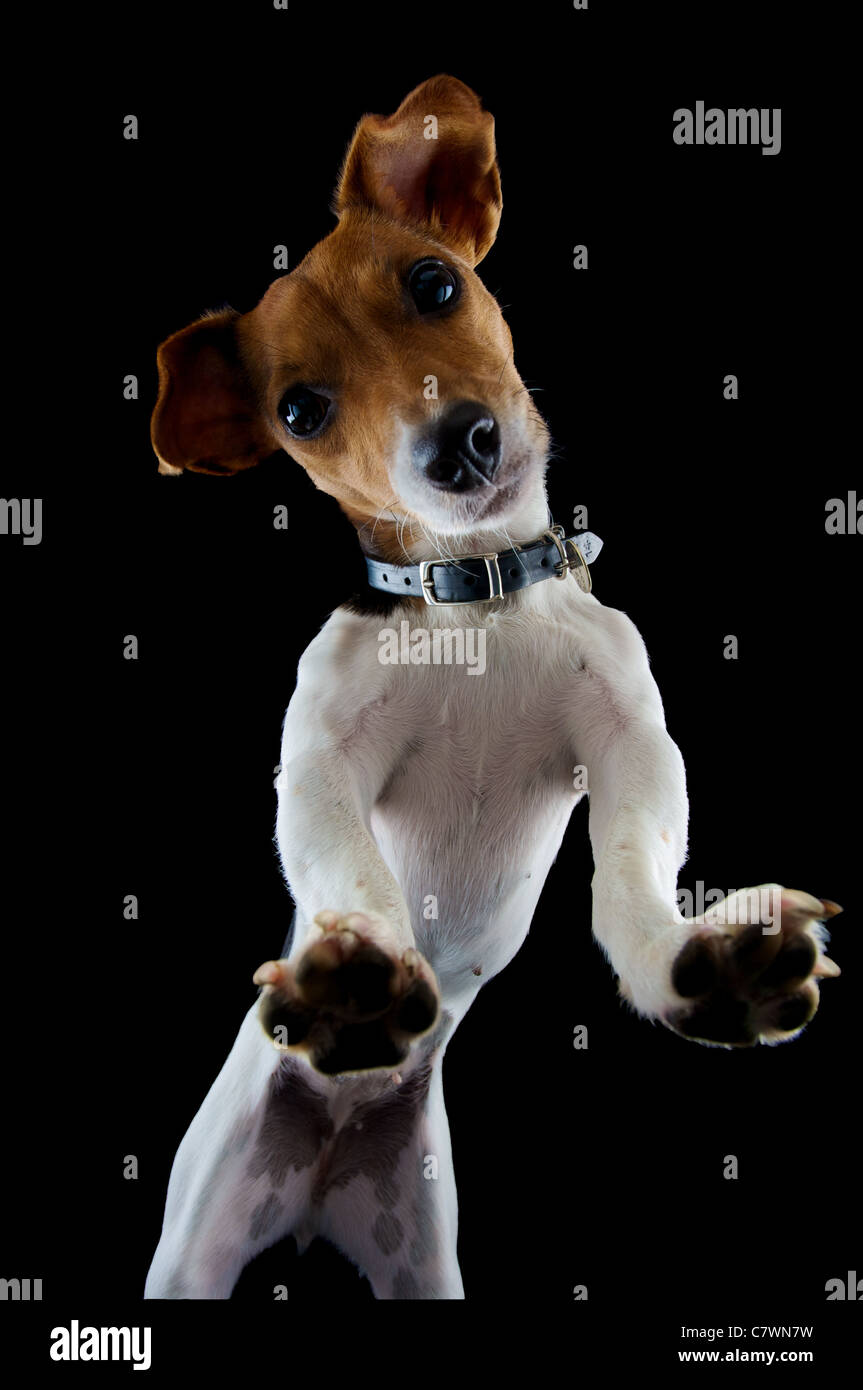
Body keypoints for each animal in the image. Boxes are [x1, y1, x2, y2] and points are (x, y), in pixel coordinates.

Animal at [143, 73, 839, 1289]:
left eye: (435, 283)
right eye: (300, 411)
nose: (456, 444)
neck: (472, 604)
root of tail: (325, 1170)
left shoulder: (630, 746)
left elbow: (630, 875)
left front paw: (692, 961)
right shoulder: (319, 768)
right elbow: (353, 871)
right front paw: (361, 972)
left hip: (425, 1257)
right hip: (192, 1244)